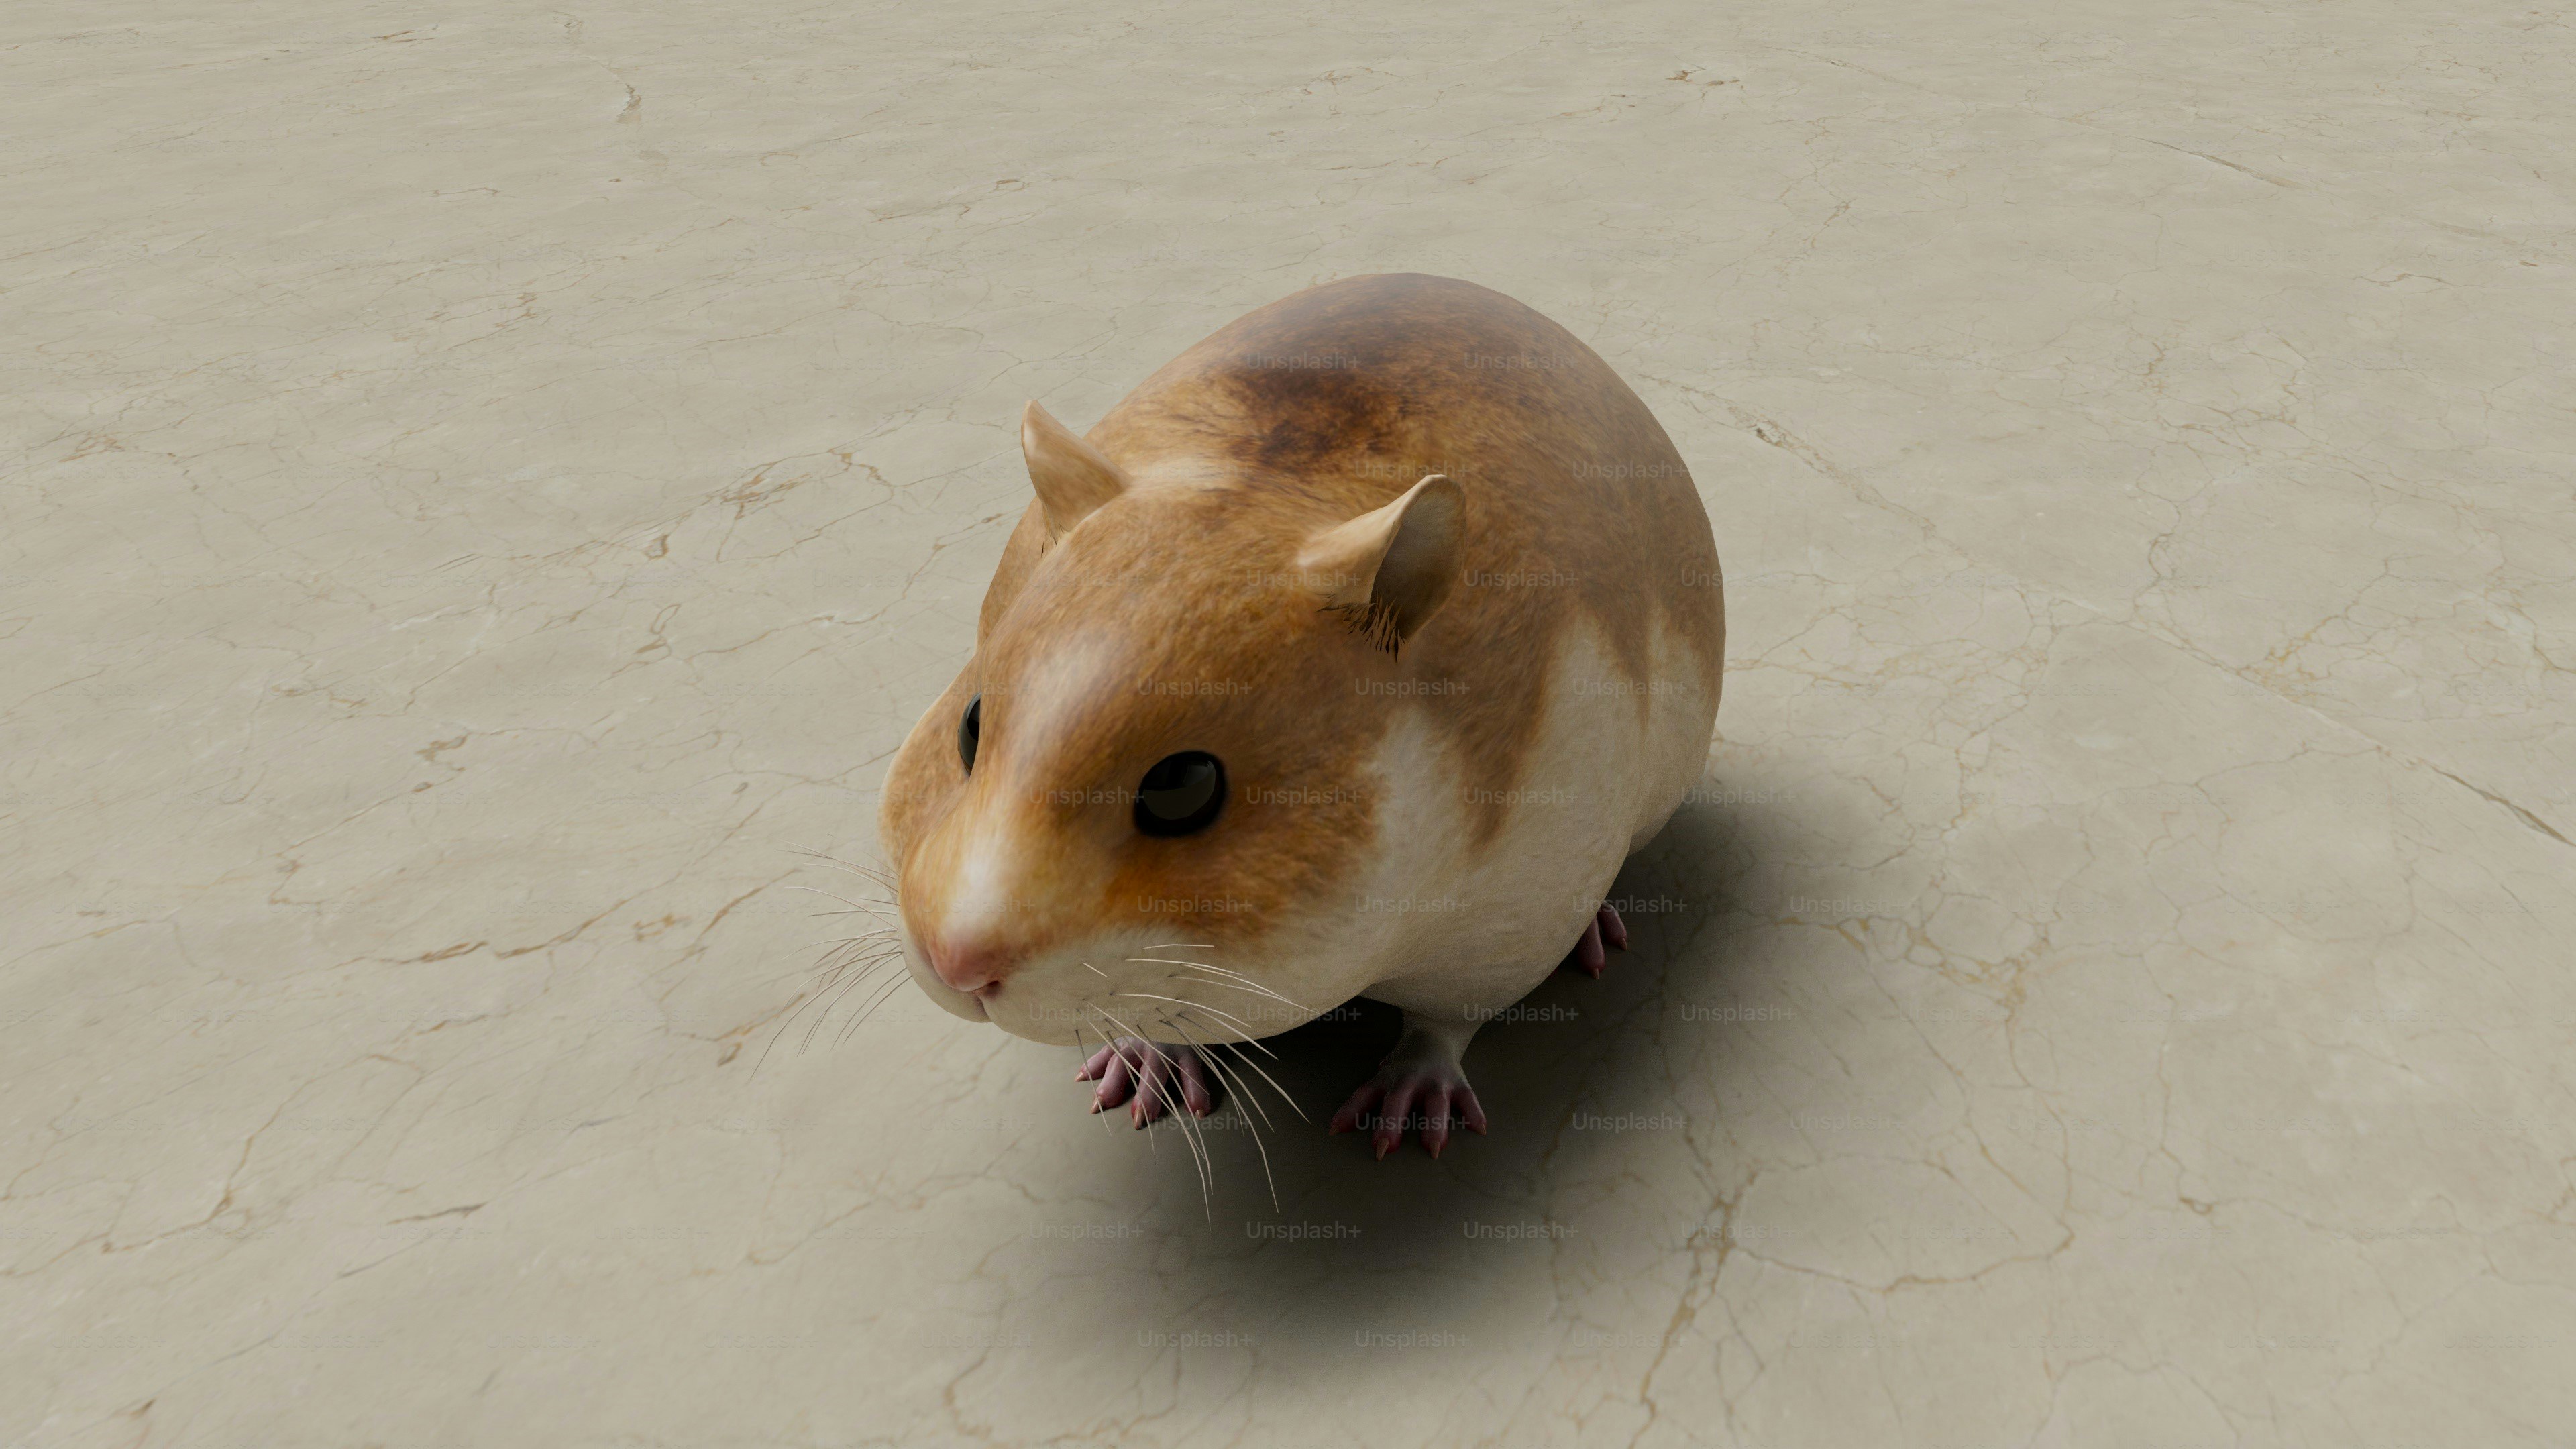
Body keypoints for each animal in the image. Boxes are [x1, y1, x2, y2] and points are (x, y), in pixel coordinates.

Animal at [877, 273, 1722, 1157]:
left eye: (1183, 786)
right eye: (970, 725)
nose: (955, 964)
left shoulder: (1517, 910)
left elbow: (1444, 1023)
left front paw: (1406, 1110)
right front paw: (1146, 1063)